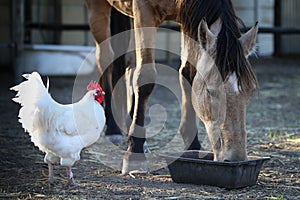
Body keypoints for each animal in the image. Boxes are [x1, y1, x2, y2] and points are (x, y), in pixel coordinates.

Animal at [84, 0, 258, 173]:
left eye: (250, 92)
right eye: (210, 91)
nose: (235, 158)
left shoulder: (188, 20)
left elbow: (187, 73)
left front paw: (192, 146)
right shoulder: (144, 11)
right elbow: (145, 78)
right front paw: (134, 153)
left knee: (129, 61)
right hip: (98, 7)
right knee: (105, 59)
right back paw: (113, 128)